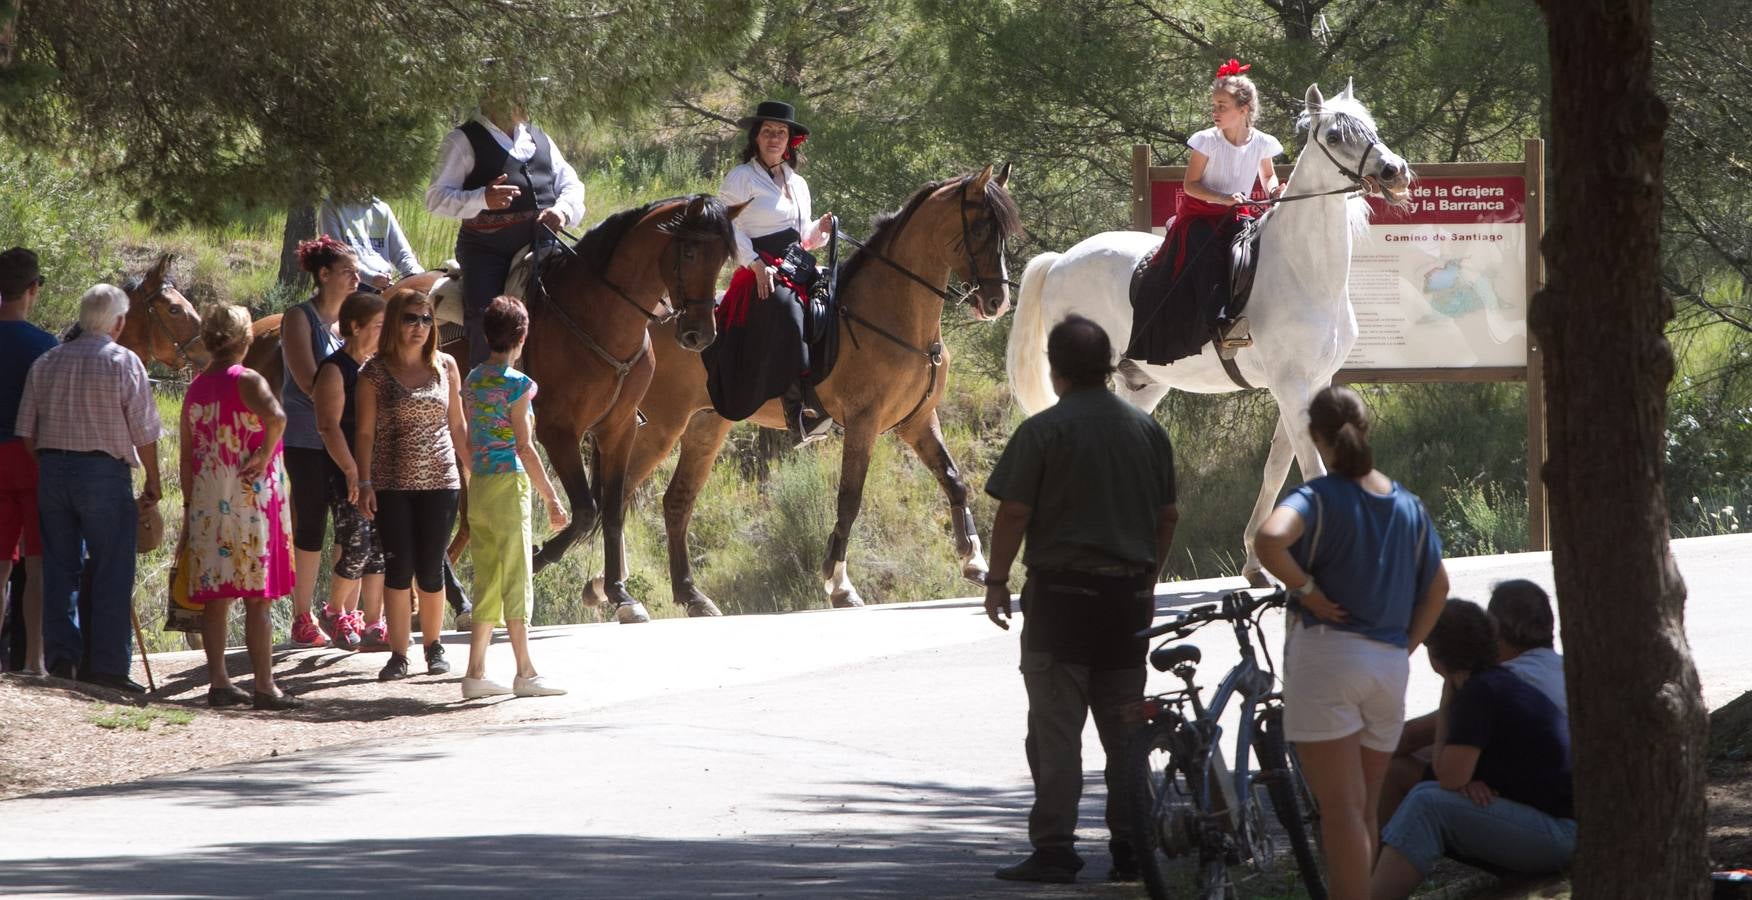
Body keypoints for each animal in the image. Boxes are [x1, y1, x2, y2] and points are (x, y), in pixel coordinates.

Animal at [623, 161, 1023, 612]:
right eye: (981, 228)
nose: (997, 303)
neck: (895, 316)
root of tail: (652, 322)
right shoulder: (864, 423)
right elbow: (849, 499)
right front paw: (839, 584)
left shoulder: (917, 421)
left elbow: (954, 479)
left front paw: (975, 563)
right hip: (662, 426)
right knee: (620, 493)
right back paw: (612, 591)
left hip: (705, 425)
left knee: (676, 501)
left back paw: (691, 597)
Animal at [1009, 84, 1415, 581]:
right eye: (1336, 136)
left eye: (1371, 130)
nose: (1394, 171)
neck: (1304, 268)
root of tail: (1060, 261)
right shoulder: (1290, 384)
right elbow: (1312, 467)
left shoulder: (1312, 384)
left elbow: (1277, 467)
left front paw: (1256, 559)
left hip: (1142, 385)